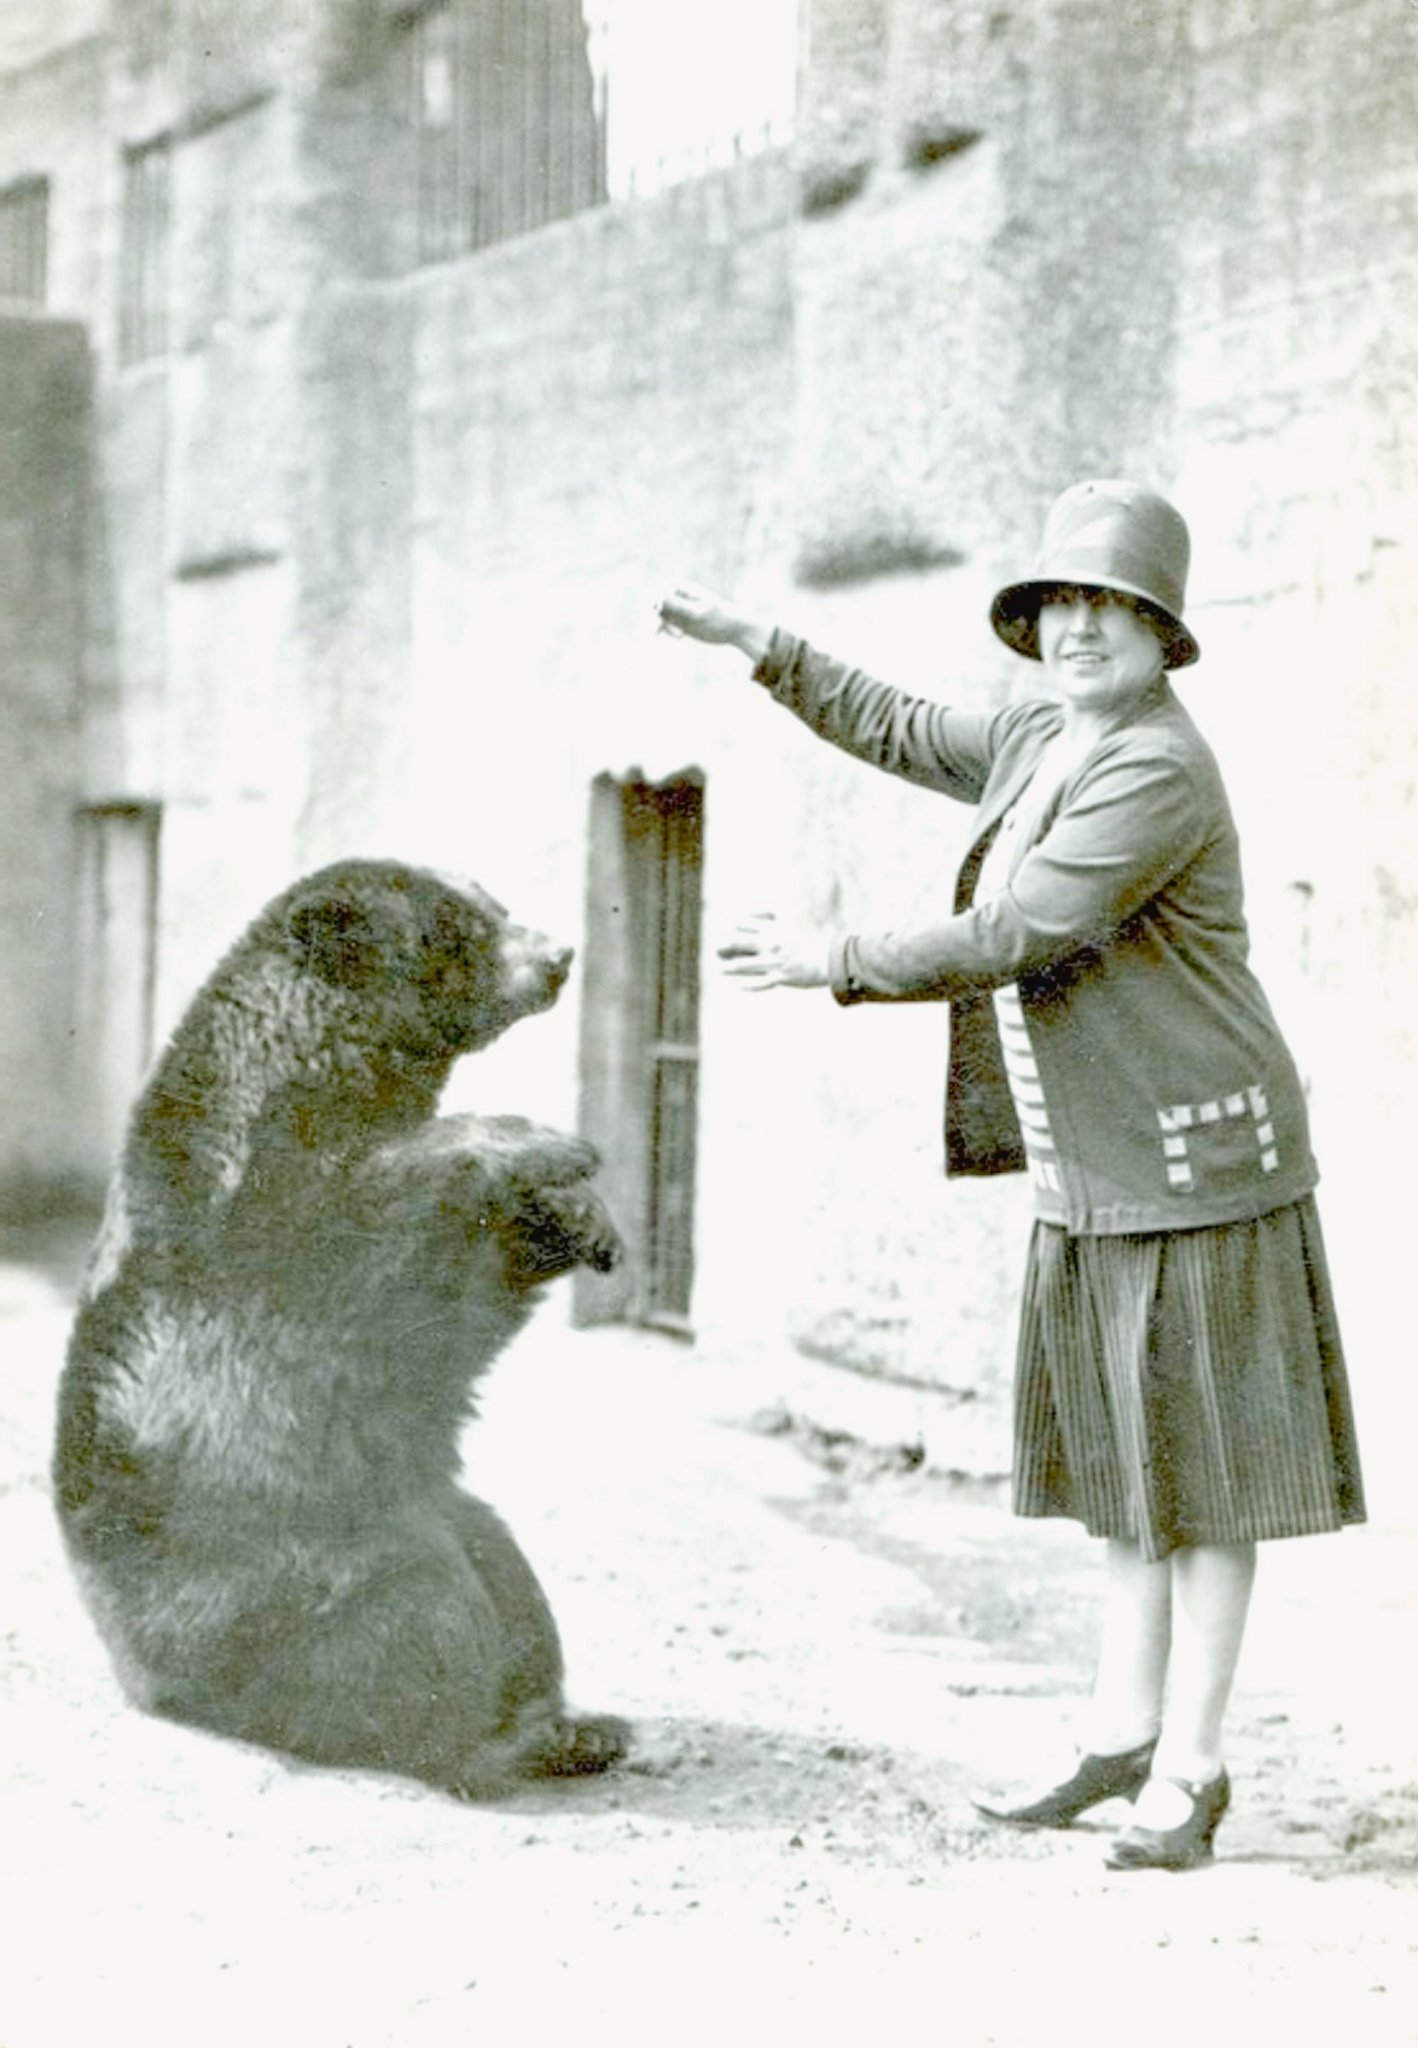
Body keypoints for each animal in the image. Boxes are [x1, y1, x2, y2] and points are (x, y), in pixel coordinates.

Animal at [54, 856, 631, 1802]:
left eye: (494, 900)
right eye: (458, 925)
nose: (558, 955)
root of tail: (147, 1681)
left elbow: (461, 1304)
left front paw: (584, 1218)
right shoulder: (250, 1226)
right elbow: (369, 1246)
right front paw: (549, 1144)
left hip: (441, 1513)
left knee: (509, 1576)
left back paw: (576, 1725)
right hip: (308, 1585)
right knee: (422, 1627)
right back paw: (494, 1743)